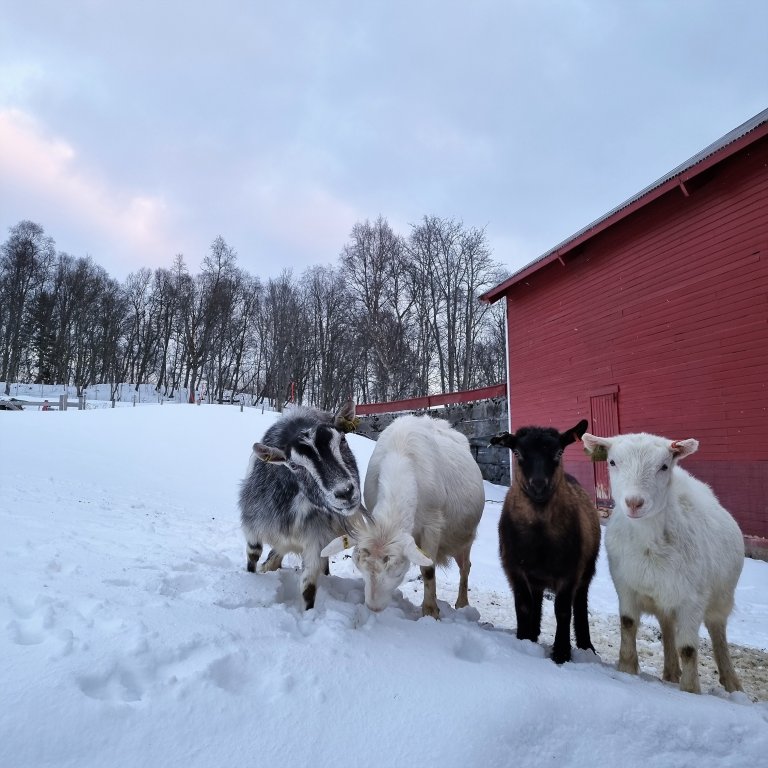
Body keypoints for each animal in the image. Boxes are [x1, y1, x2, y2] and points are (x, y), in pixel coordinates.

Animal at [238, 402, 362, 612]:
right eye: (294, 465)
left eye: (343, 440)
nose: (345, 492)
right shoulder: (253, 524)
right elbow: (253, 554)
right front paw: (252, 580)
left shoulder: (315, 540)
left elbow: (308, 587)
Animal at [320, 414, 484, 616]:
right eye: (359, 567)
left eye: (398, 573)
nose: (374, 608)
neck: (400, 454)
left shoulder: (432, 525)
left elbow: (428, 569)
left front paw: (430, 611)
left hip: (463, 538)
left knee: (465, 567)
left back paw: (462, 603)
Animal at [492, 416, 600, 664]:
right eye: (518, 453)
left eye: (559, 452)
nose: (539, 484)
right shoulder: (514, 567)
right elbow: (523, 605)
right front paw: (523, 639)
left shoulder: (570, 571)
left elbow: (563, 610)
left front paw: (561, 652)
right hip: (535, 576)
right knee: (537, 599)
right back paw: (533, 633)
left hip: (587, 567)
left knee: (580, 603)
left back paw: (586, 646)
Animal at [584, 432, 744, 696]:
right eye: (612, 462)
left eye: (664, 466)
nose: (634, 502)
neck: (649, 541)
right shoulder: (626, 586)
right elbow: (628, 624)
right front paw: (627, 669)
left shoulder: (693, 599)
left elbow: (688, 649)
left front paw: (690, 690)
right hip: (664, 600)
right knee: (667, 628)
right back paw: (670, 672)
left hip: (721, 596)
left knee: (717, 631)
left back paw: (732, 684)